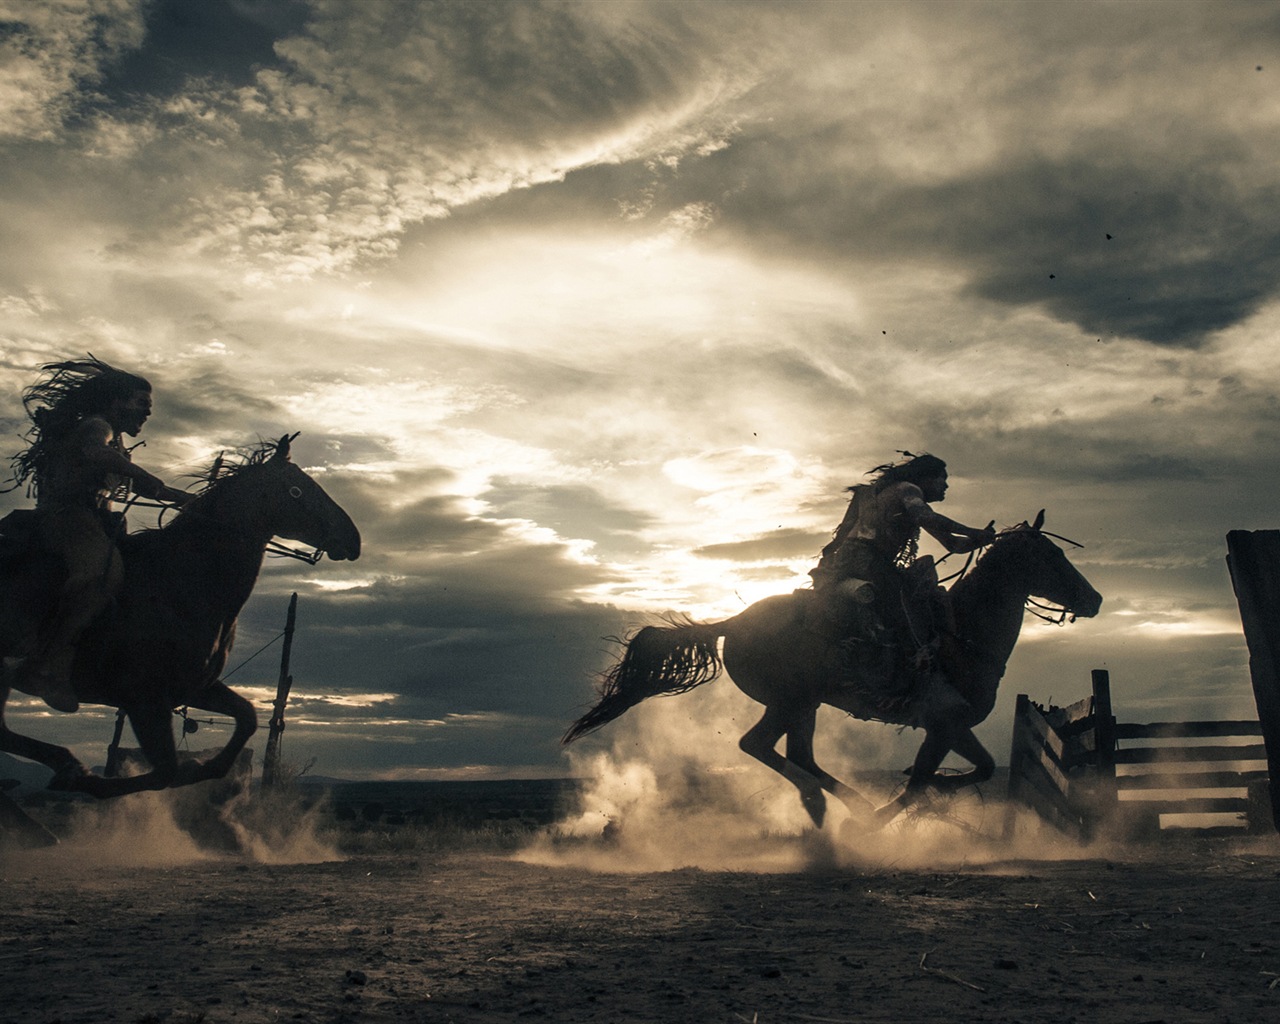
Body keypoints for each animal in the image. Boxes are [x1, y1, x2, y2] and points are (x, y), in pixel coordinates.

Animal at [1, 432, 360, 798]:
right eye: (298, 490)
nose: (353, 538)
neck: (178, 582)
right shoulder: (145, 700)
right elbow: (166, 772)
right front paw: (92, 782)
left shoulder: (195, 688)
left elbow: (247, 718)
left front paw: (209, 770)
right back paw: (68, 769)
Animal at [565, 517, 1105, 829]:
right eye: (1053, 556)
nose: (1095, 599)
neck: (961, 634)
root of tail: (734, 622)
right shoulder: (942, 725)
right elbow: (923, 780)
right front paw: (891, 814)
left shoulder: (951, 727)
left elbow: (977, 768)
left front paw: (924, 798)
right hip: (792, 701)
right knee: (760, 746)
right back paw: (833, 806)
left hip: (803, 706)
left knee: (796, 753)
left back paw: (833, 804)